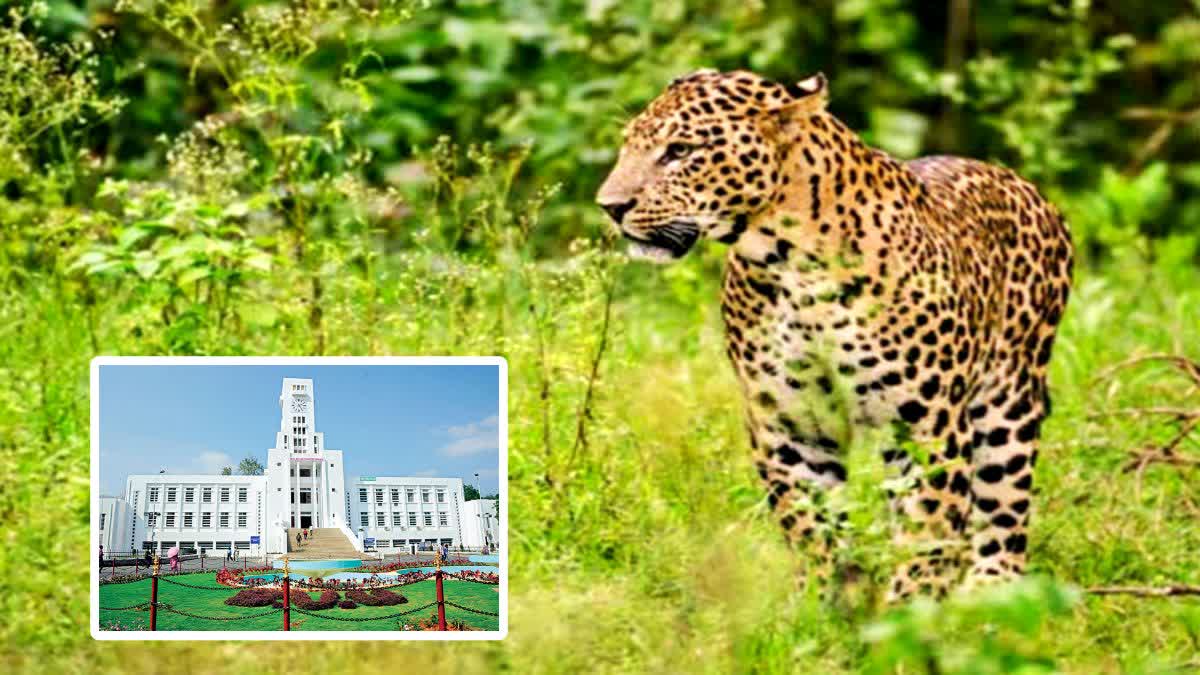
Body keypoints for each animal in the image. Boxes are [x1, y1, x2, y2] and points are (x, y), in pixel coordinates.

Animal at [595, 68, 1075, 595]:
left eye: (680, 151)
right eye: (628, 145)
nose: (610, 206)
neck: (791, 265)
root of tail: (1026, 187)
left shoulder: (928, 426)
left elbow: (926, 534)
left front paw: (908, 607)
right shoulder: (791, 425)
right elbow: (811, 526)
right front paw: (824, 601)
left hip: (1009, 402)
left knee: (1004, 512)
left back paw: (990, 590)